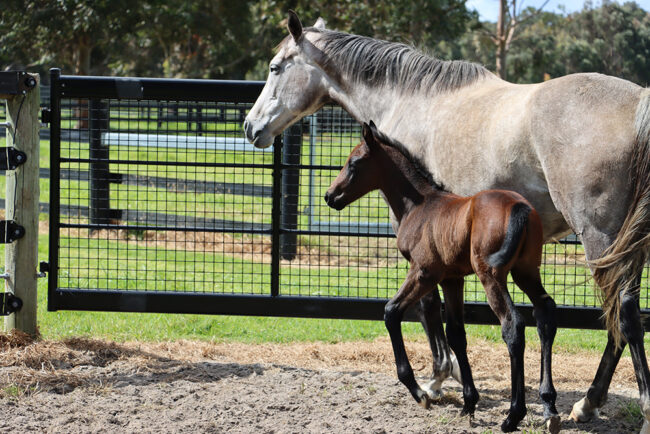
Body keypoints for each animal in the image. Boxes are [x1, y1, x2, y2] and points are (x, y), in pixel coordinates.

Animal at [324, 121, 559, 432]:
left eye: (354, 163)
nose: (330, 196)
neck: (419, 205)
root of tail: (519, 207)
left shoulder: (425, 272)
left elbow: (391, 312)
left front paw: (420, 392)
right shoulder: (452, 278)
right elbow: (456, 333)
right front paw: (469, 402)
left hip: (491, 276)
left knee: (513, 325)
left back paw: (513, 414)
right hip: (527, 272)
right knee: (545, 314)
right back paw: (550, 406)